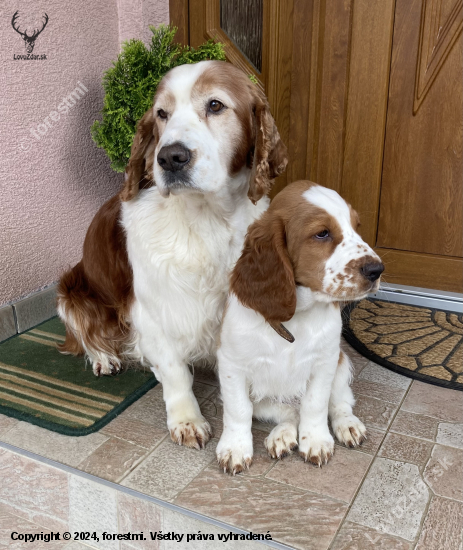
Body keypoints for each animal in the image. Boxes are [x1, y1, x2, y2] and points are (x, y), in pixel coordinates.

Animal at [57, 60, 288, 448]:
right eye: (161, 114)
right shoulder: (152, 309)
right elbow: (175, 371)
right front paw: (187, 419)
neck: (203, 219)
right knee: (83, 334)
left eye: (215, 105)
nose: (170, 157)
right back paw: (103, 358)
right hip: (69, 288)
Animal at [218, 183, 384, 476]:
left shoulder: (325, 362)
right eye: (322, 233)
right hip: (266, 400)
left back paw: (347, 425)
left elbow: (316, 404)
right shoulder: (231, 365)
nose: (377, 270)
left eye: (356, 226)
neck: (294, 317)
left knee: (340, 401)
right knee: (287, 414)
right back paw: (282, 436)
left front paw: (316, 440)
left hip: (341, 364)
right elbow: (238, 410)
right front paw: (235, 448)